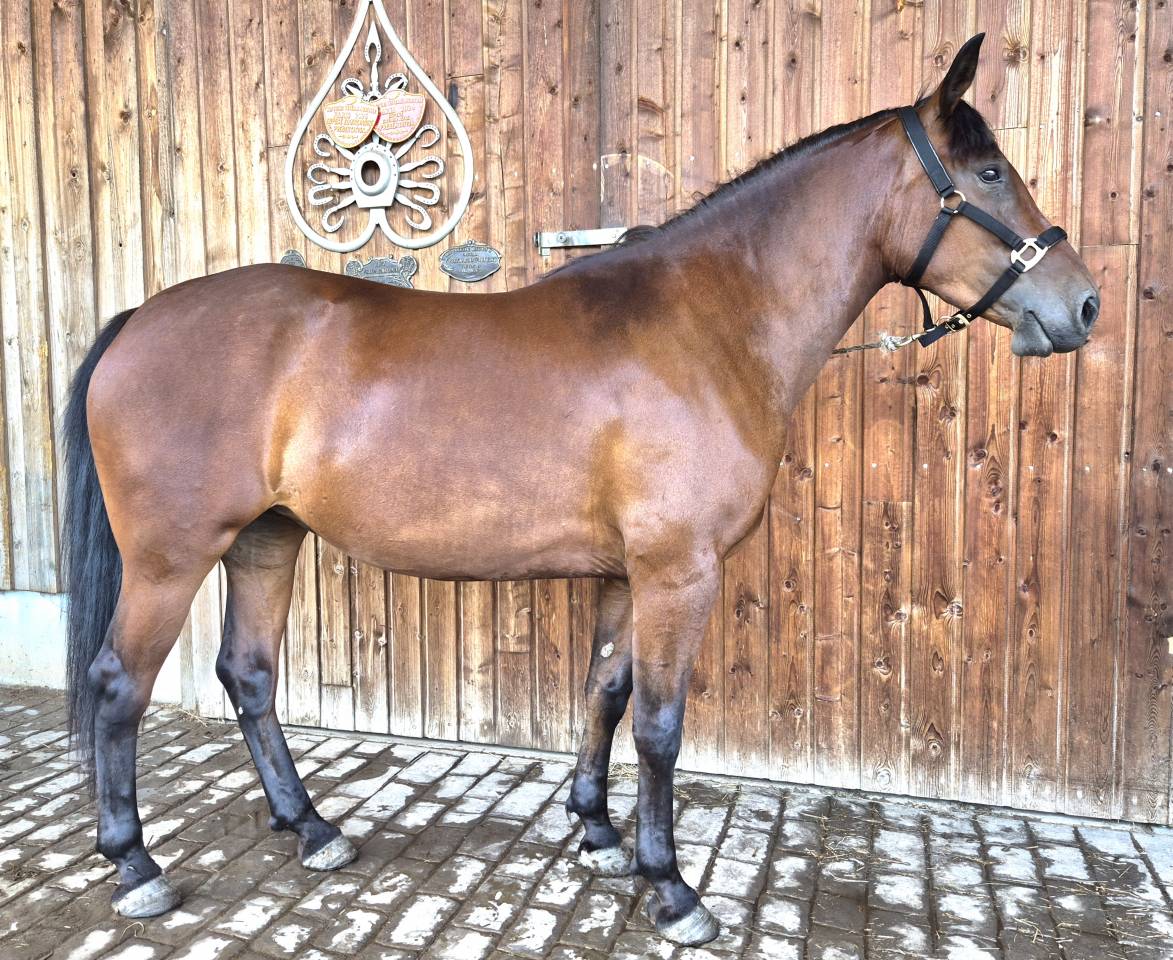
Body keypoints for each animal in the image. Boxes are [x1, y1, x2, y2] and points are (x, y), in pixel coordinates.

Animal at [62, 34, 1097, 946]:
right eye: (990, 174)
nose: (1081, 304)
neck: (708, 322)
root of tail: (140, 319)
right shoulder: (679, 572)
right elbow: (660, 727)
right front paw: (670, 888)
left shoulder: (625, 576)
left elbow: (604, 693)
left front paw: (597, 833)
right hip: (170, 557)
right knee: (118, 685)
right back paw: (136, 864)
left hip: (266, 538)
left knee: (249, 674)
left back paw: (311, 828)